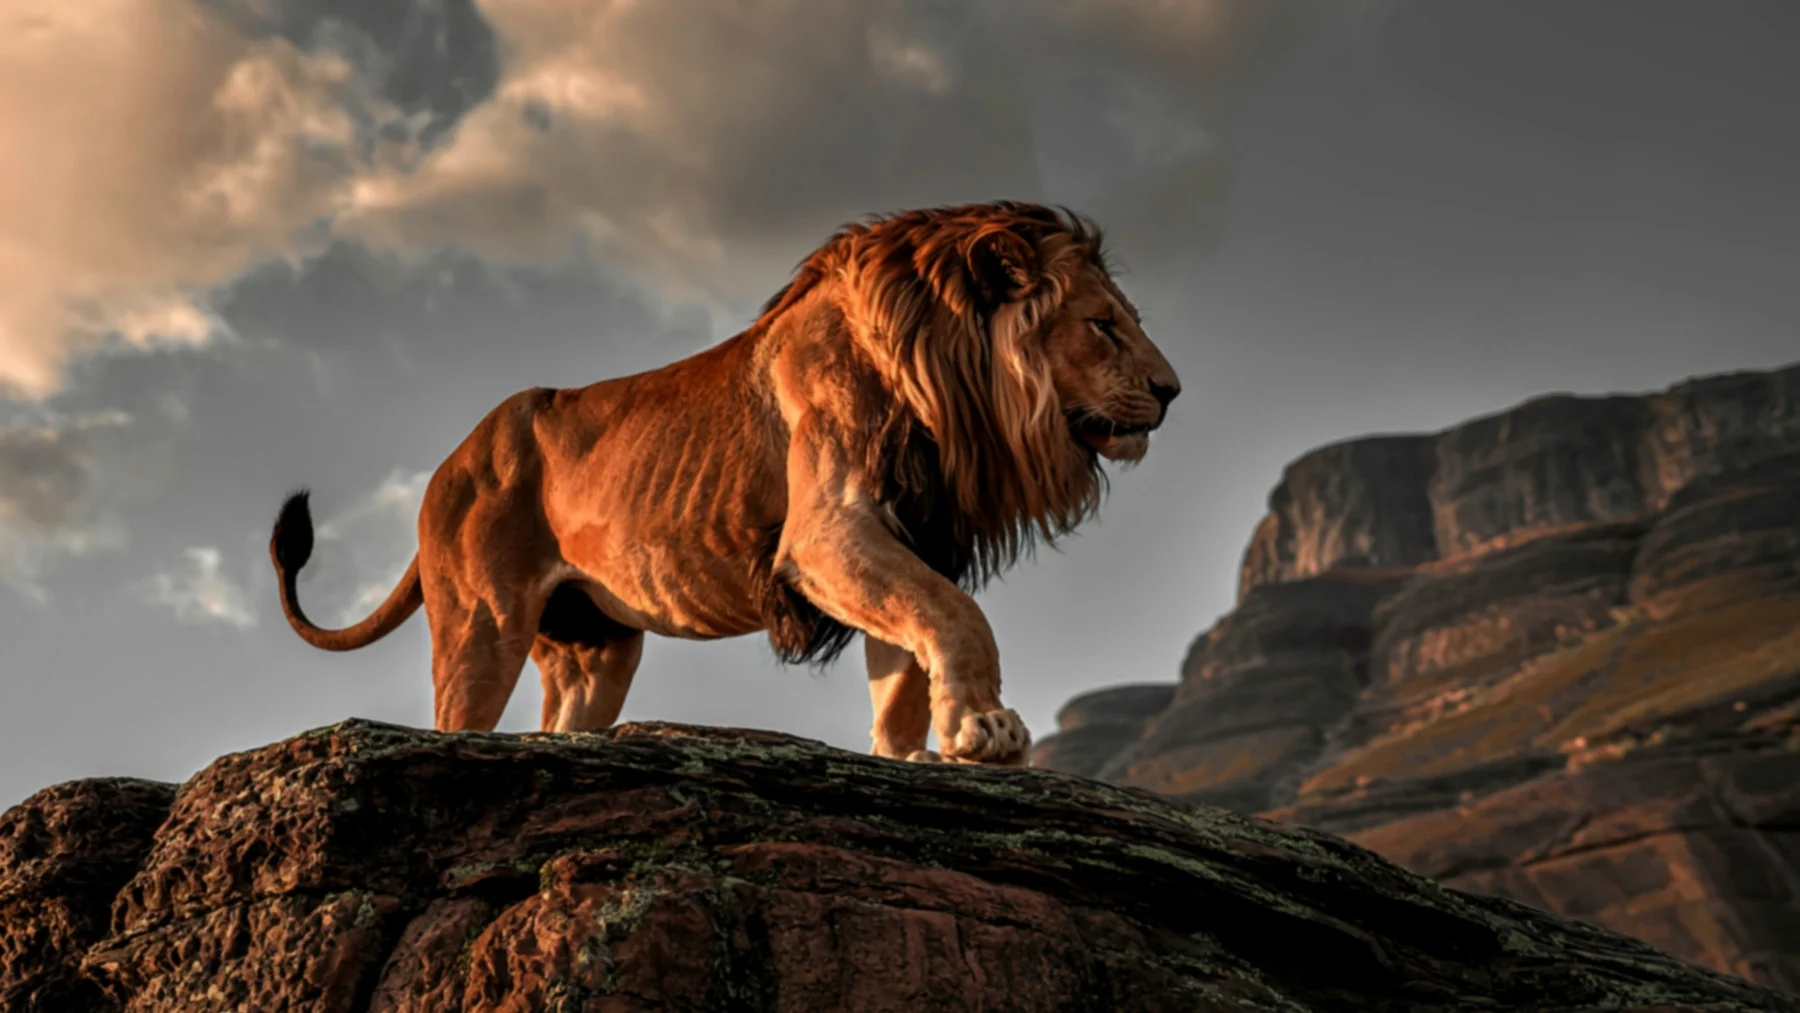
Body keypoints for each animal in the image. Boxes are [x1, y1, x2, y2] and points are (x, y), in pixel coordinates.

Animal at [269, 200, 1180, 765]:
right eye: (1103, 325)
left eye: (1128, 321)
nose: (1173, 390)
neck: (948, 380)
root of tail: (447, 465)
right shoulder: (826, 531)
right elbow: (958, 616)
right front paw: (985, 726)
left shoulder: (907, 535)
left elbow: (904, 665)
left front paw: (914, 751)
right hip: (480, 625)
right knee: (458, 722)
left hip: (595, 648)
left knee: (561, 722)